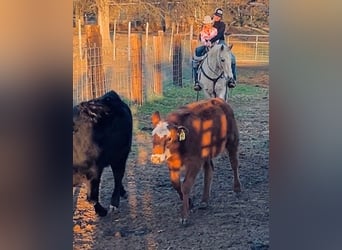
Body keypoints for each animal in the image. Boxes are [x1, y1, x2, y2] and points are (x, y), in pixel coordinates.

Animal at [150, 97, 240, 225]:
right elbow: (175, 183)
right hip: (207, 152)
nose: (155, 158)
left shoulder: (194, 162)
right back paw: (204, 200)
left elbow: (186, 185)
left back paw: (237, 188)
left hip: (232, 140)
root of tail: (218, 100)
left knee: (234, 163)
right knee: (209, 169)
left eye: (169, 138)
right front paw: (190, 203)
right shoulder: (172, 163)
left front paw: (184, 216)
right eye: (153, 136)